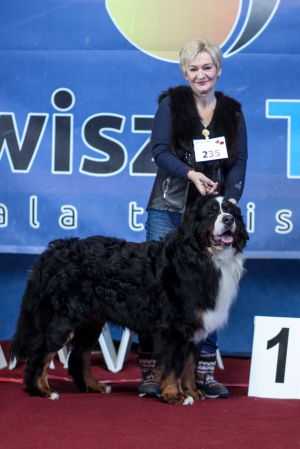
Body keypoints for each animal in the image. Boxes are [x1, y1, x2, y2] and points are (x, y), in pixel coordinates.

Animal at [11, 194, 247, 404]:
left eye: (230, 210)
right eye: (211, 212)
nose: (228, 220)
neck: (202, 256)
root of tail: (52, 252)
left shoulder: (195, 326)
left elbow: (189, 365)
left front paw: (193, 393)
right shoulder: (174, 327)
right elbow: (172, 367)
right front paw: (174, 395)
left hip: (90, 321)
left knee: (79, 356)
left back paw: (93, 386)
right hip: (62, 320)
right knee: (40, 354)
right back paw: (41, 391)